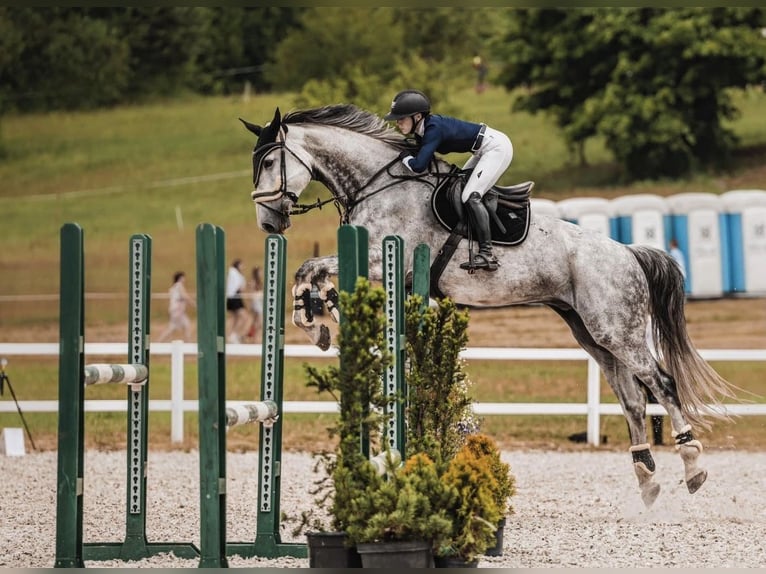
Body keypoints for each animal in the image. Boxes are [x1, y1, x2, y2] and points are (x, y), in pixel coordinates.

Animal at [243, 103, 740, 508]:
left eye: (268, 161)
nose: (268, 222)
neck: (376, 184)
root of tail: (628, 252)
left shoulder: (385, 261)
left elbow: (312, 266)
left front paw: (316, 320)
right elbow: (308, 269)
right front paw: (318, 319)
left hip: (617, 329)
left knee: (661, 382)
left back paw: (693, 465)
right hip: (591, 332)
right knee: (633, 398)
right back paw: (646, 478)